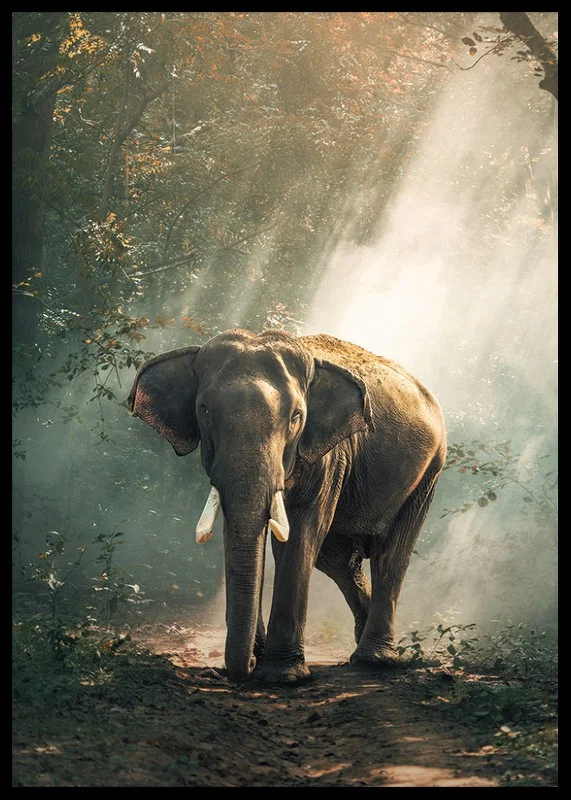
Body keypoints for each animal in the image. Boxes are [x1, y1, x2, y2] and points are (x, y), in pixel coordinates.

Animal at [127, 328, 446, 685]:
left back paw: (374, 660)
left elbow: (299, 535)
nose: (249, 664)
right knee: (338, 560)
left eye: (296, 417)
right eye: (204, 411)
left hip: (429, 471)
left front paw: (283, 676)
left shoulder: (329, 455)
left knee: (390, 556)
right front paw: (262, 660)